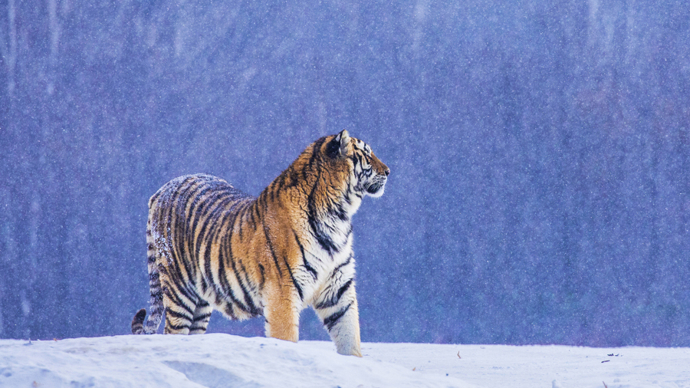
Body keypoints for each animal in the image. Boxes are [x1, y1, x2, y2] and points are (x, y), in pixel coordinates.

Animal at [130, 131, 388, 358]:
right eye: (367, 154)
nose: (388, 170)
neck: (339, 215)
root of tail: (161, 190)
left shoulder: (339, 288)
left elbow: (350, 335)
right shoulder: (283, 292)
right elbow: (286, 337)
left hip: (201, 303)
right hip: (179, 290)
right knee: (172, 331)